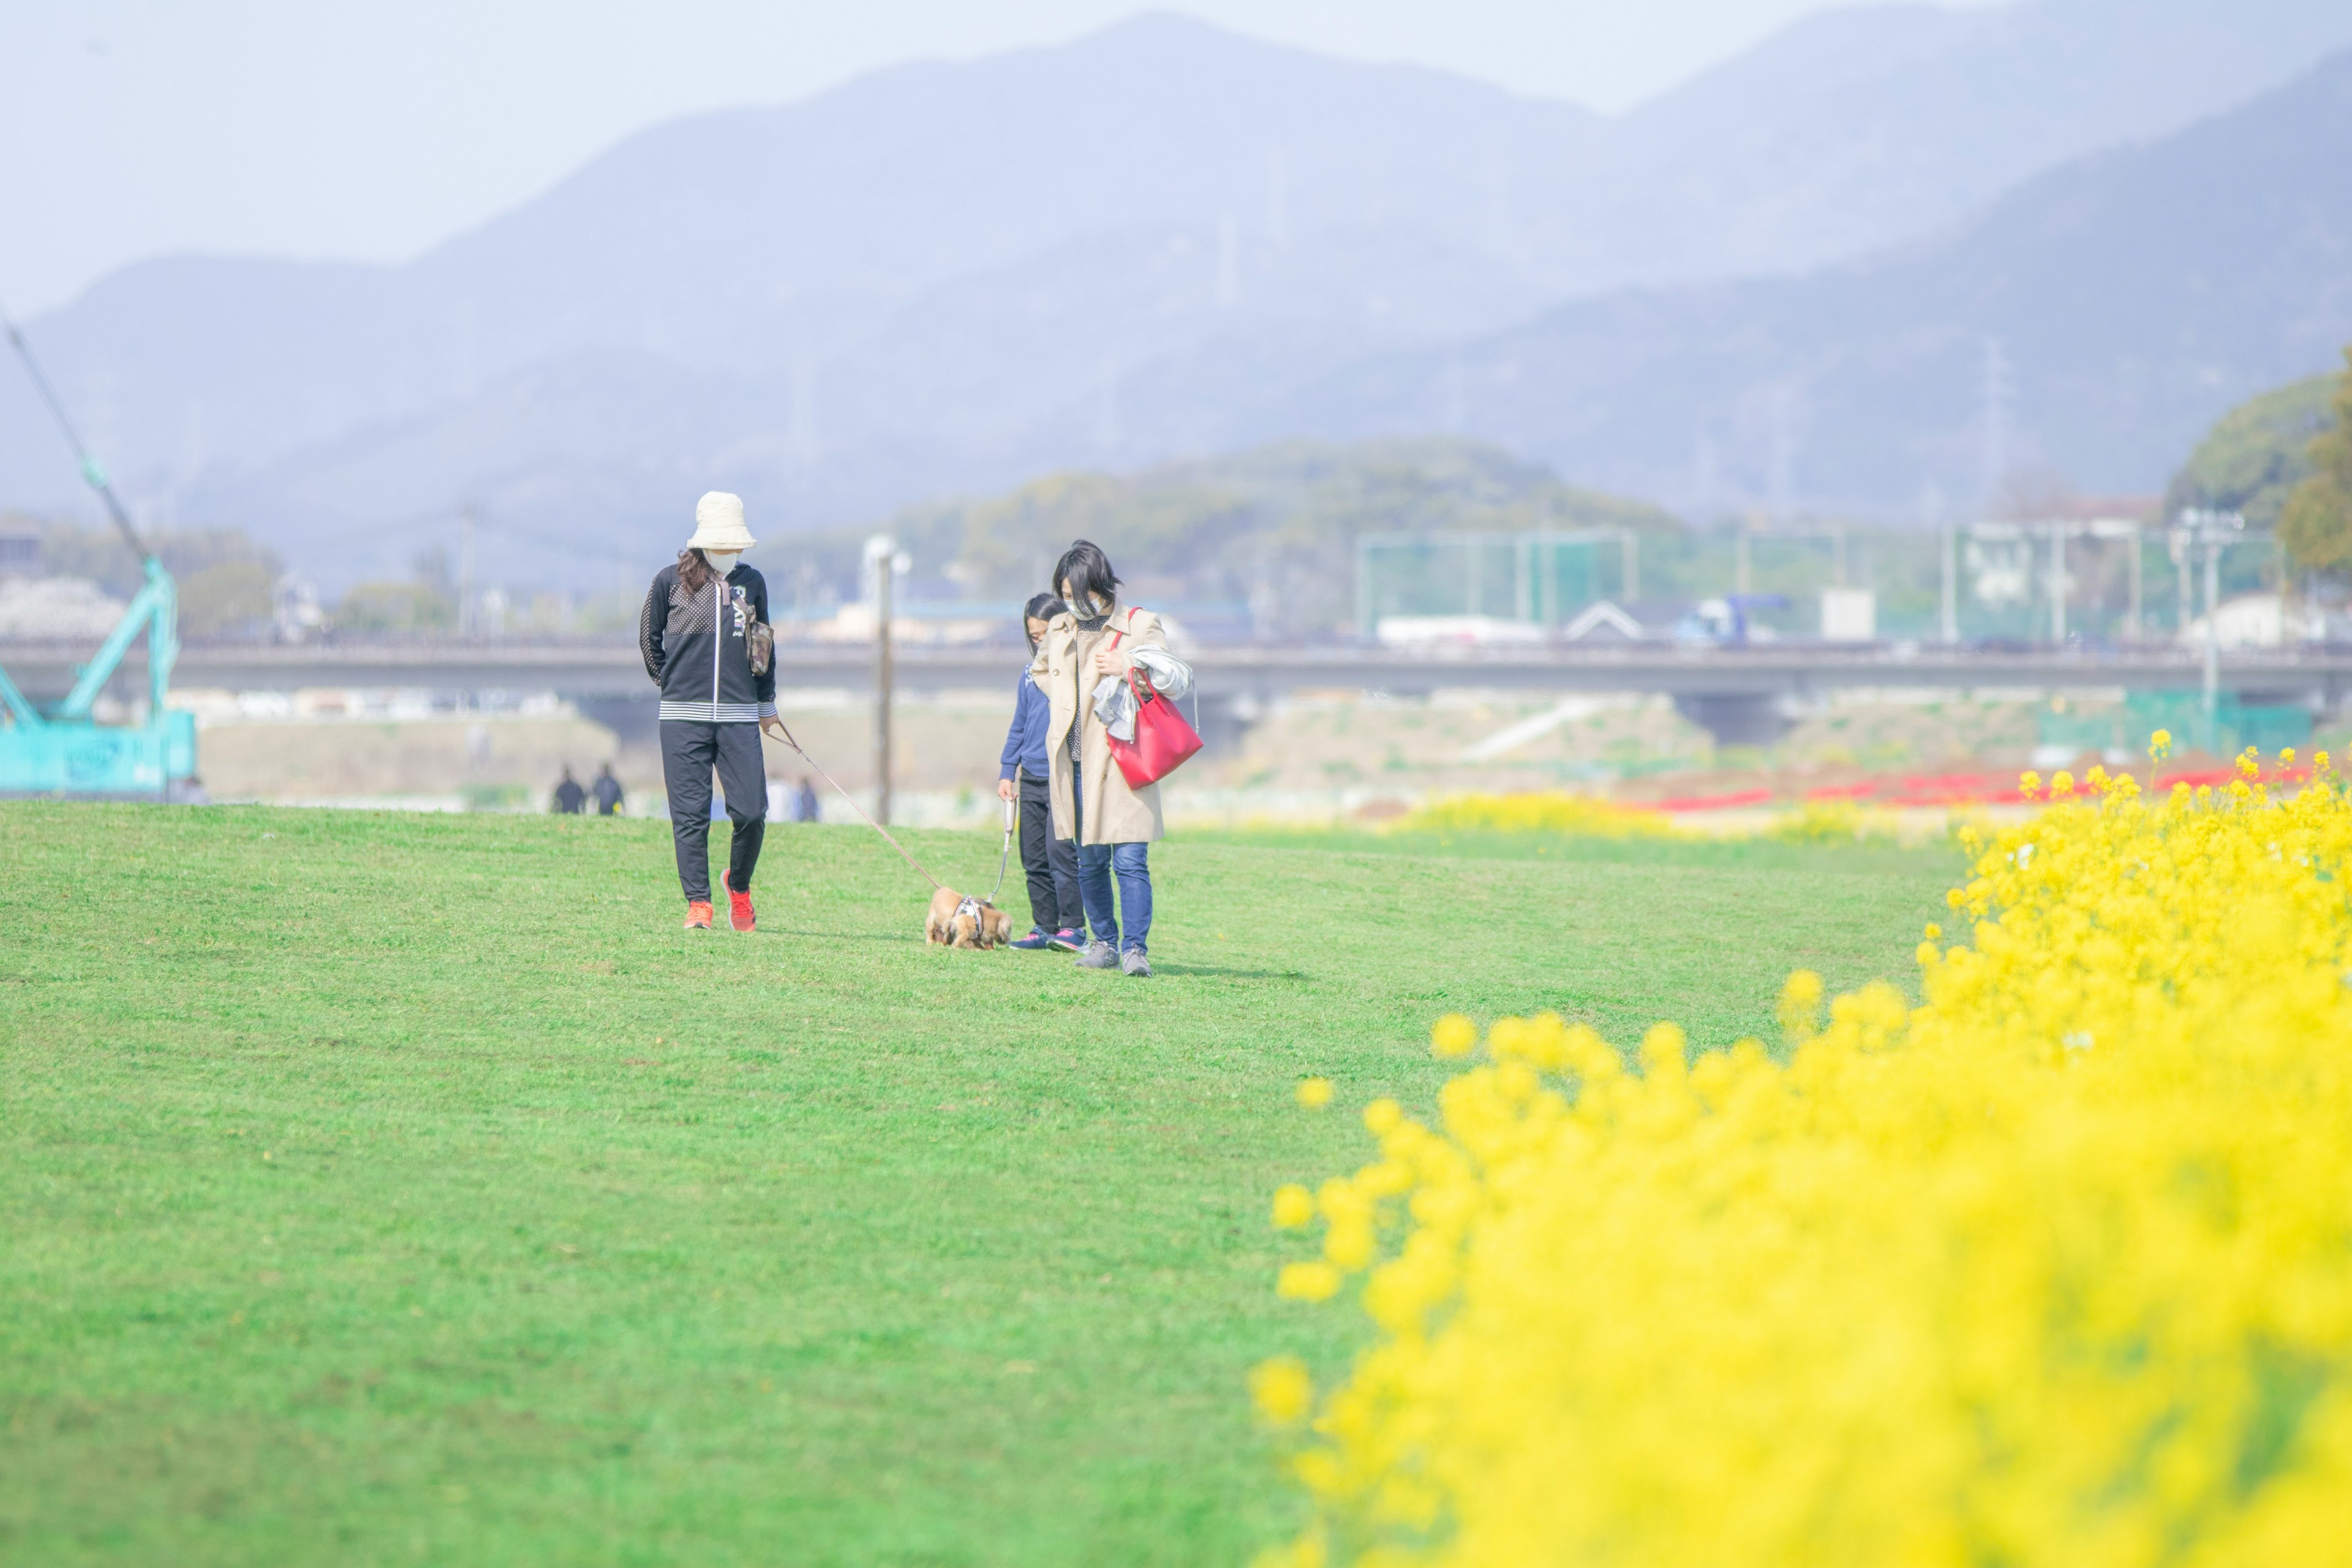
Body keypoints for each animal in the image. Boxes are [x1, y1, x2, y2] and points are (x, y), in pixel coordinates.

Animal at [922, 888, 1016, 949]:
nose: (1006, 942)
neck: (983, 918)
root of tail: (939, 890)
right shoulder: (959, 921)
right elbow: (965, 934)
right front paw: (955, 945)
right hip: (931, 921)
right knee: (930, 932)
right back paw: (930, 942)